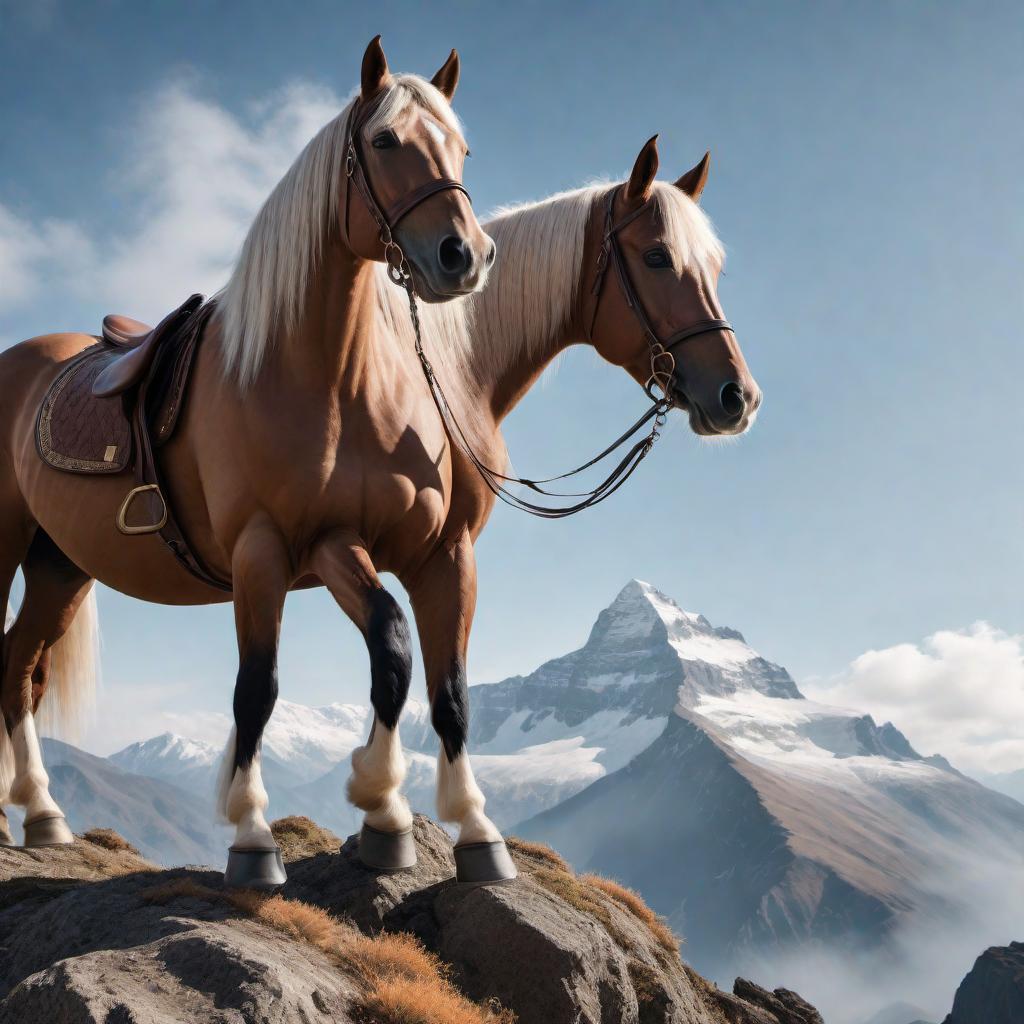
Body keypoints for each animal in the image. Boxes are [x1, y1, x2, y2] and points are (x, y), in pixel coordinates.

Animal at [0, 37, 495, 888]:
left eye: (461, 148)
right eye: (385, 141)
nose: (461, 256)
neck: (322, 377)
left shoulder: (403, 551)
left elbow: (426, 671)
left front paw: (447, 824)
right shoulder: (267, 550)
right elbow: (257, 689)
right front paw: (254, 834)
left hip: (59, 566)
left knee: (18, 670)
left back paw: (41, 815)